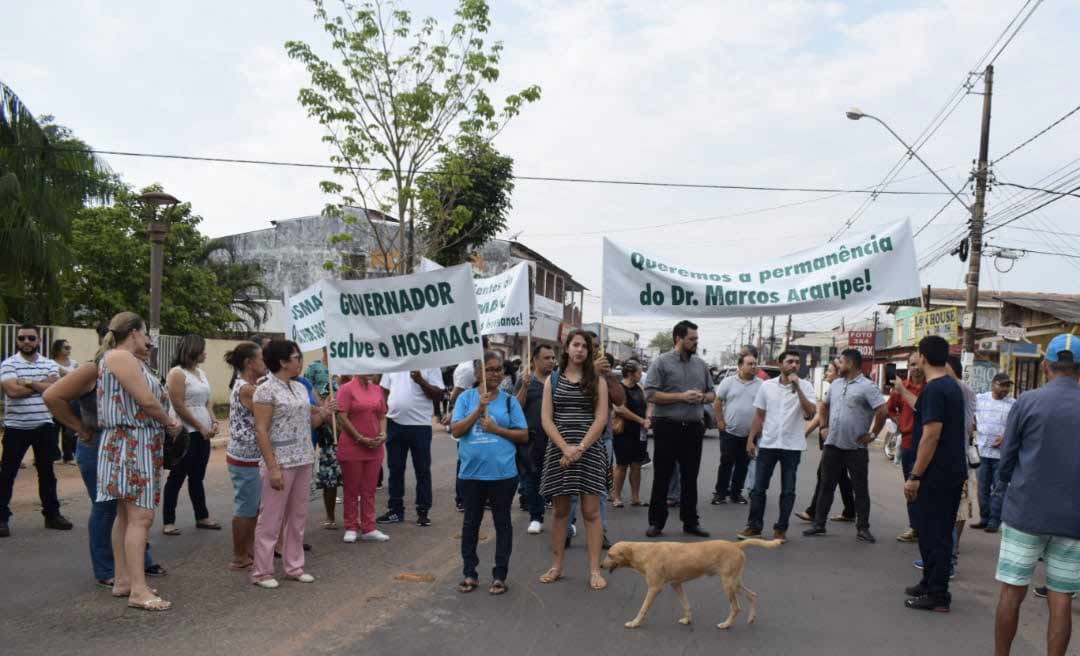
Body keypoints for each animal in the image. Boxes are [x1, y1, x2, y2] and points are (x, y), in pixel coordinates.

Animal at [600, 538, 786, 631]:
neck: (643, 552)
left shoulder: (654, 588)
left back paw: (726, 625)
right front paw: (688, 619)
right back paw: (751, 618)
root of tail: (736, 544)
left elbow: (643, 608)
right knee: (753, 595)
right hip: (735, 582)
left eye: (610, 554)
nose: (600, 566)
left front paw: (635, 623)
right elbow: (686, 605)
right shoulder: (676, 584)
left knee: (736, 608)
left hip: (727, 584)